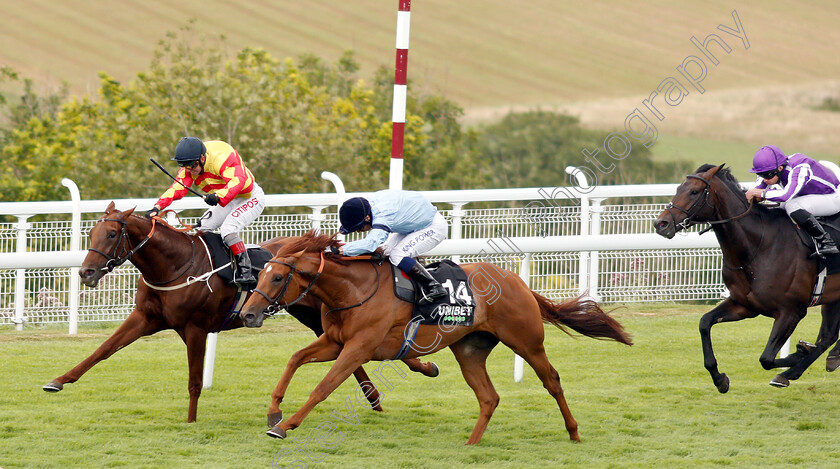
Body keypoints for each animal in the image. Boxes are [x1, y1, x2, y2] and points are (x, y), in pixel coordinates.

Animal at [43, 203, 440, 422]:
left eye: (111, 235)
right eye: (92, 233)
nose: (86, 273)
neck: (176, 264)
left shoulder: (195, 329)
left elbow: (194, 379)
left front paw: (191, 420)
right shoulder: (145, 318)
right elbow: (102, 350)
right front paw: (58, 380)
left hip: (317, 315)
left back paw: (416, 370)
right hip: (314, 316)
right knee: (352, 354)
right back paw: (380, 395)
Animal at [236, 232, 632, 444]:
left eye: (276, 277)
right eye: (260, 274)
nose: (248, 314)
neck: (353, 289)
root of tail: (518, 283)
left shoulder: (358, 348)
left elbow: (324, 387)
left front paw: (285, 426)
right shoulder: (334, 342)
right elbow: (294, 360)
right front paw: (274, 412)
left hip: (527, 342)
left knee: (552, 380)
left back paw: (574, 432)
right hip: (470, 350)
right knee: (489, 397)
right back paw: (471, 444)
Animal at [652, 165, 840, 392]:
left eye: (694, 192)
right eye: (678, 188)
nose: (661, 223)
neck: (759, 246)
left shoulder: (792, 311)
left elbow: (766, 358)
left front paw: (800, 351)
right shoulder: (744, 305)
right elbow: (705, 323)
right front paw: (720, 379)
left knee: (825, 338)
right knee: (828, 336)